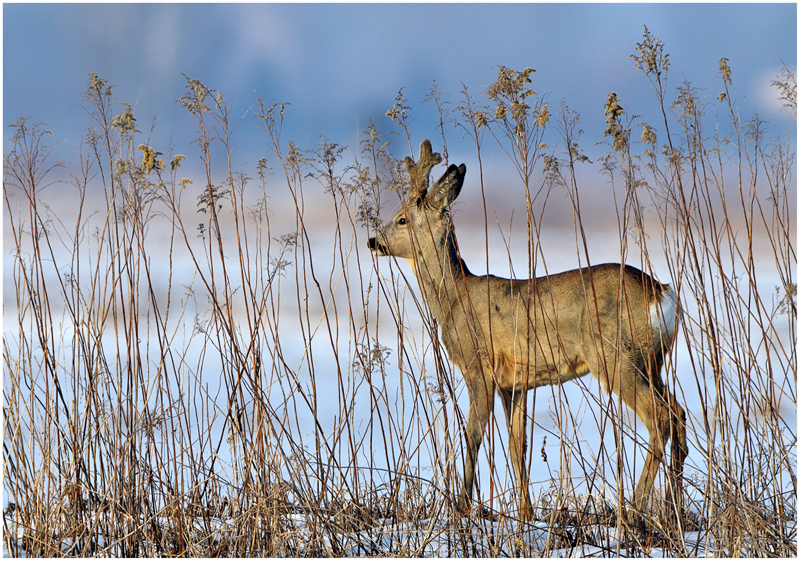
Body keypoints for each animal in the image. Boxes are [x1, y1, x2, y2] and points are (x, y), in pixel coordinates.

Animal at [368, 139, 688, 516]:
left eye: (402, 218)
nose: (373, 241)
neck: (456, 298)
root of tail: (661, 293)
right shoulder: (515, 383)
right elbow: (517, 446)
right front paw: (525, 514)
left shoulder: (479, 367)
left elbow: (473, 435)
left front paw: (461, 507)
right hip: (651, 362)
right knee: (678, 412)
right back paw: (673, 507)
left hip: (615, 358)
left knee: (660, 416)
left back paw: (635, 507)